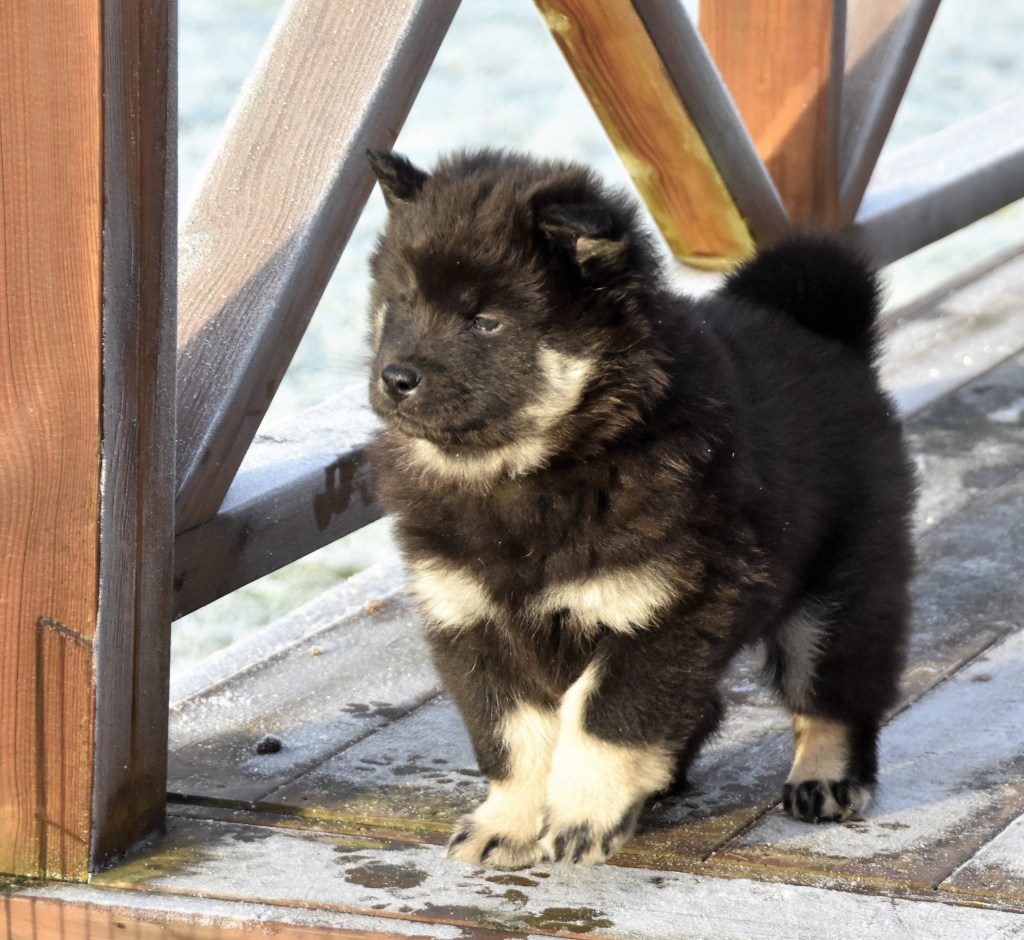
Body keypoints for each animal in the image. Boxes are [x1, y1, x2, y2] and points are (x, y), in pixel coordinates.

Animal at [364, 148, 915, 868]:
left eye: (486, 321)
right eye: (400, 304)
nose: (395, 378)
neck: (533, 472)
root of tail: (827, 335)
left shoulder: (667, 608)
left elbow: (605, 716)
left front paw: (581, 813)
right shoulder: (471, 620)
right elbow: (513, 735)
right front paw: (508, 822)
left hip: (840, 584)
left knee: (835, 690)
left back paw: (827, 778)